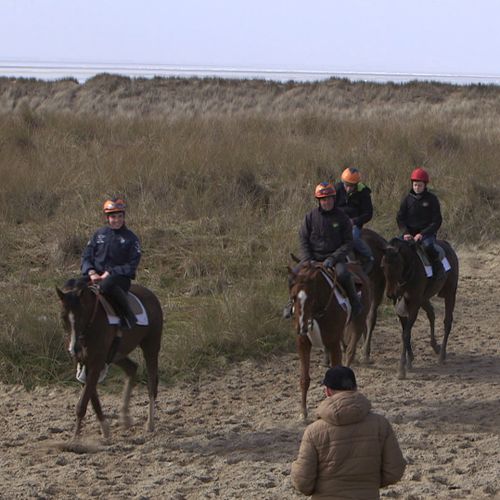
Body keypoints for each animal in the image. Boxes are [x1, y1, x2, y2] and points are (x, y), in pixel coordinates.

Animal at [57, 280, 163, 440]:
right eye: (63, 317)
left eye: (81, 315)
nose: (74, 348)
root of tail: (152, 295)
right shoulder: (83, 364)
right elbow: (92, 398)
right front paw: (105, 430)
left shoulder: (96, 363)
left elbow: (82, 404)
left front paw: (75, 437)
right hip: (117, 354)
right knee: (132, 368)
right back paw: (125, 417)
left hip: (151, 347)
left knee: (152, 384)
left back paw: (150, 424)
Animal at [290, 264, 372, 420]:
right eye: (293, 297)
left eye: (311, 296)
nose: (301, 326)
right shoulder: (303, 343)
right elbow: (304, 379)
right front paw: (303, 412)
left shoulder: (333, 344)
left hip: (358, 322)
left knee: (351, 351)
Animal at [380, 238, 458, 378]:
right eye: (383, 266)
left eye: (397, 265)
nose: (390, 294)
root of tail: (447, 245)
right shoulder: (401, 306)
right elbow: (405, 332)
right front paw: (409, 359)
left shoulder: (414, 306)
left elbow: (406, 334)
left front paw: (402, 368)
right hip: (424, 299)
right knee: (431, 314)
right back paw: (435, 346)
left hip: (450, 292)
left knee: (447, 322)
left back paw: (442, 355)